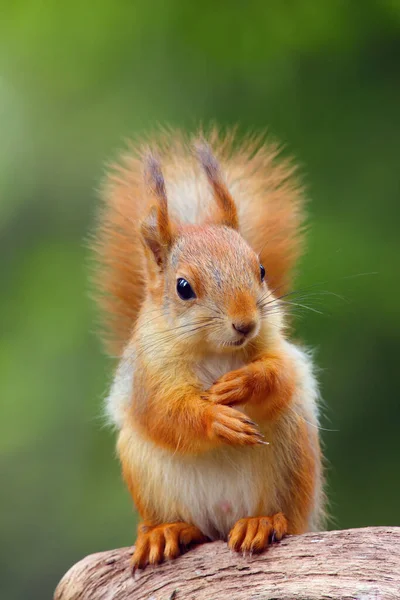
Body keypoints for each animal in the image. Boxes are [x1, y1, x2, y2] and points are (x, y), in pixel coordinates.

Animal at [93, 127, 324, 572]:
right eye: (183, 287)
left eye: (261, 270)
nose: (245, 323)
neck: (214, 351)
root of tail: (224, 520)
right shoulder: (148, 372)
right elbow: (165, 412)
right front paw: (217, 419)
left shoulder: (279, 344)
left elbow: (282, 373)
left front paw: (244, 383)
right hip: (145, 471)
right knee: (189, 526)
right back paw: (167, 531)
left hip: (292, 454)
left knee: (283, 516)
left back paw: (262, 522)